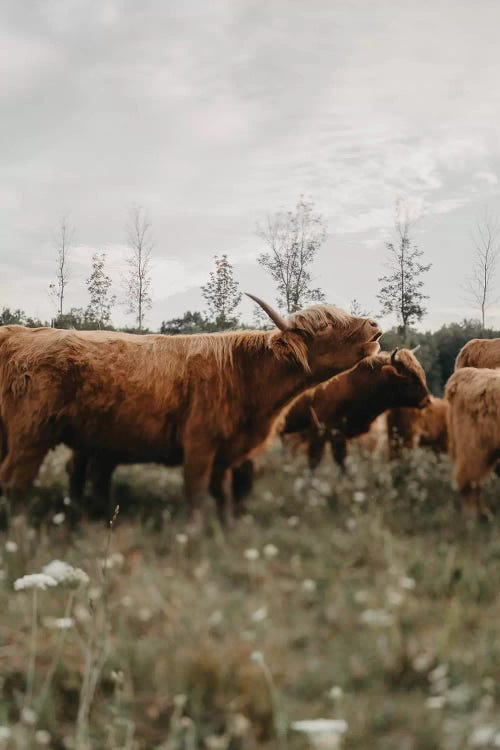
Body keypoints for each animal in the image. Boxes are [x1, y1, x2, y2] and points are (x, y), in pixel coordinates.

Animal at [0, 296, 380, 528]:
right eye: (327, 325)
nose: (375, 326)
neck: (245, 374)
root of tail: (18, 334)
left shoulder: (228, 451)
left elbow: (223, 495)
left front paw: (228, 530)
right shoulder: (199, 442)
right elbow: (196, 492)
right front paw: (195, 536)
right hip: (32, 433)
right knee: (16, 481)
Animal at [282, 348, 430, 470]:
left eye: (420, 373)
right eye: (410, 377)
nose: (427, 400)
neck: (352, 383)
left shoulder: (340, 437)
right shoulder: (319, 433)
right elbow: (317, 462)